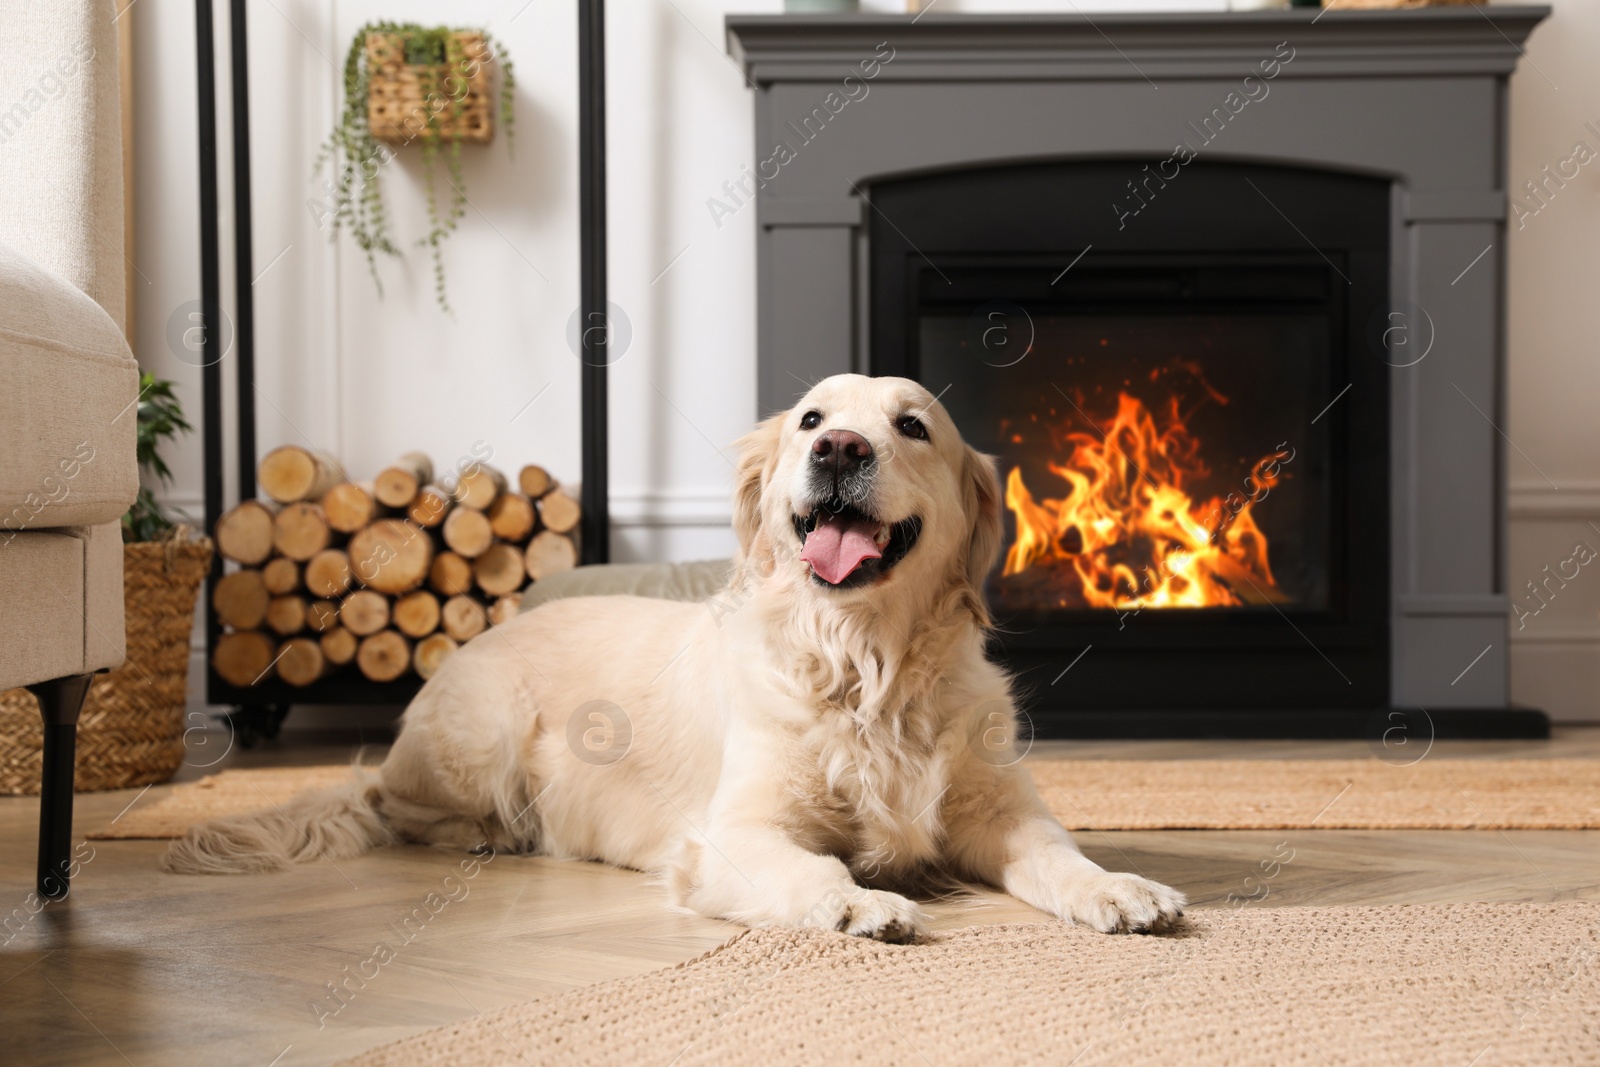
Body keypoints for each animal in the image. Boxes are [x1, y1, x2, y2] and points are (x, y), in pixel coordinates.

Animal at [165, 375, 1190, 940]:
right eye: (811, 417)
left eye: (912, 426)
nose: (839, 448)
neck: (866, 664)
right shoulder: (737, 831)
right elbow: (816, 870)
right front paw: (861, 905)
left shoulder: (999, 811)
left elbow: (1063, 856)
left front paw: (1122, 888)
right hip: (484, 734)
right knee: (396, 804)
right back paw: (493, 831)